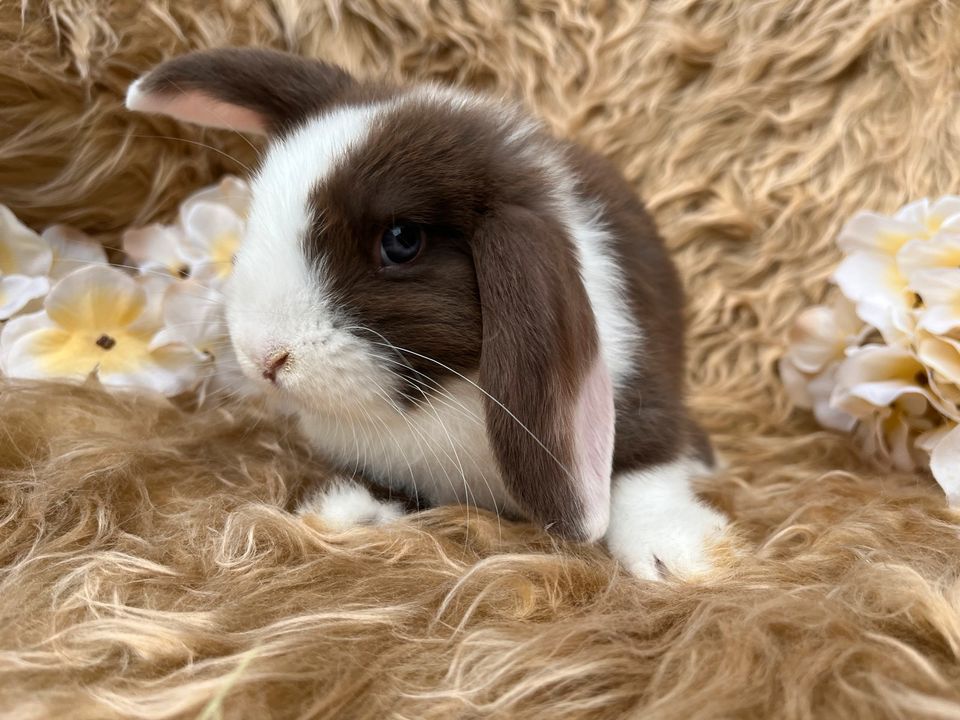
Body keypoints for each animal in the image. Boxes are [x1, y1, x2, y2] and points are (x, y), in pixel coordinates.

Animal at [125, 47, 728, 580]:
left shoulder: (638, 385)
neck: (449, 390)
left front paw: (674, 552)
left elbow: (644, 467)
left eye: (401, 241)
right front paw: (348, 509)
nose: (263, 357)